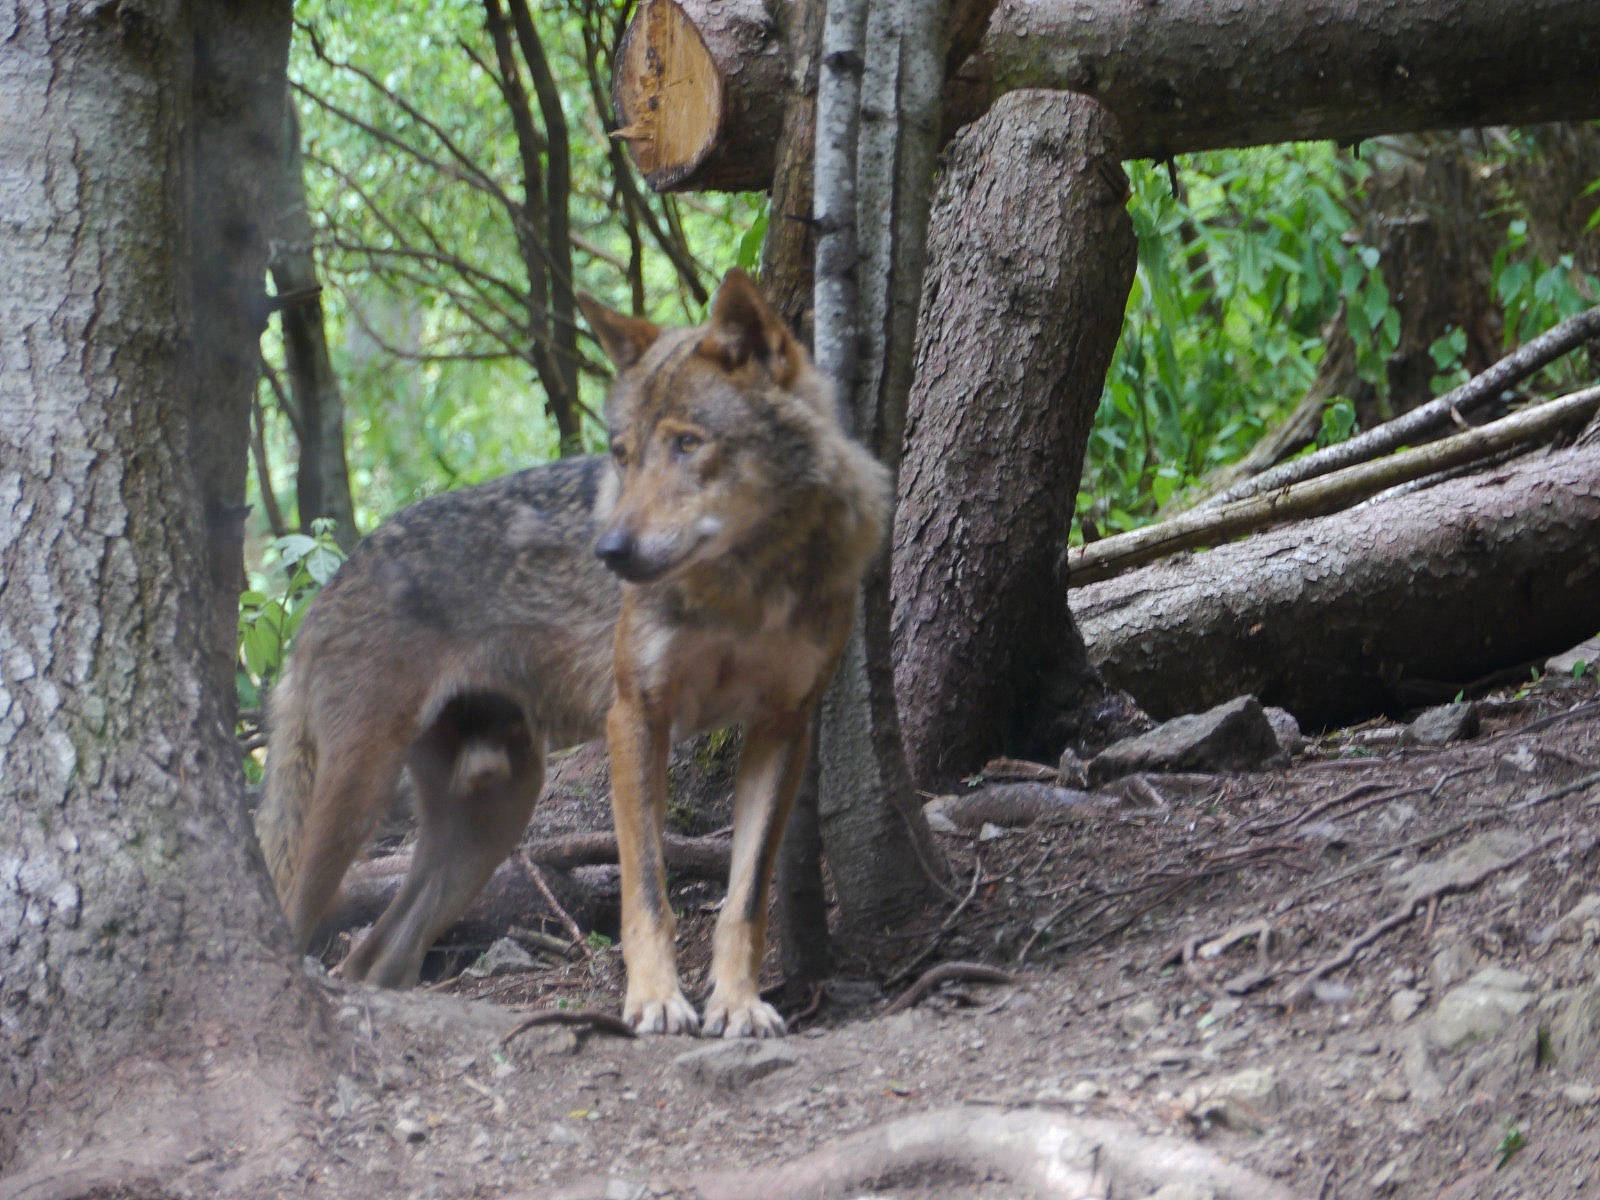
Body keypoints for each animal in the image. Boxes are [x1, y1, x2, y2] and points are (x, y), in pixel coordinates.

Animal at [256, 269, 891, 1037]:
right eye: (622, 453)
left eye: (687, 444)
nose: (609, 550)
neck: (745, 586)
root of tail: (327, 584)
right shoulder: (636, 716)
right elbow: (647, 892)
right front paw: (654, 1000)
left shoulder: (782, 727)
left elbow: (744, 899)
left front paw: (738, 1004)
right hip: (359, 796)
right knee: (298, 921)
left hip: (491, 822)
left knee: (374, 957)